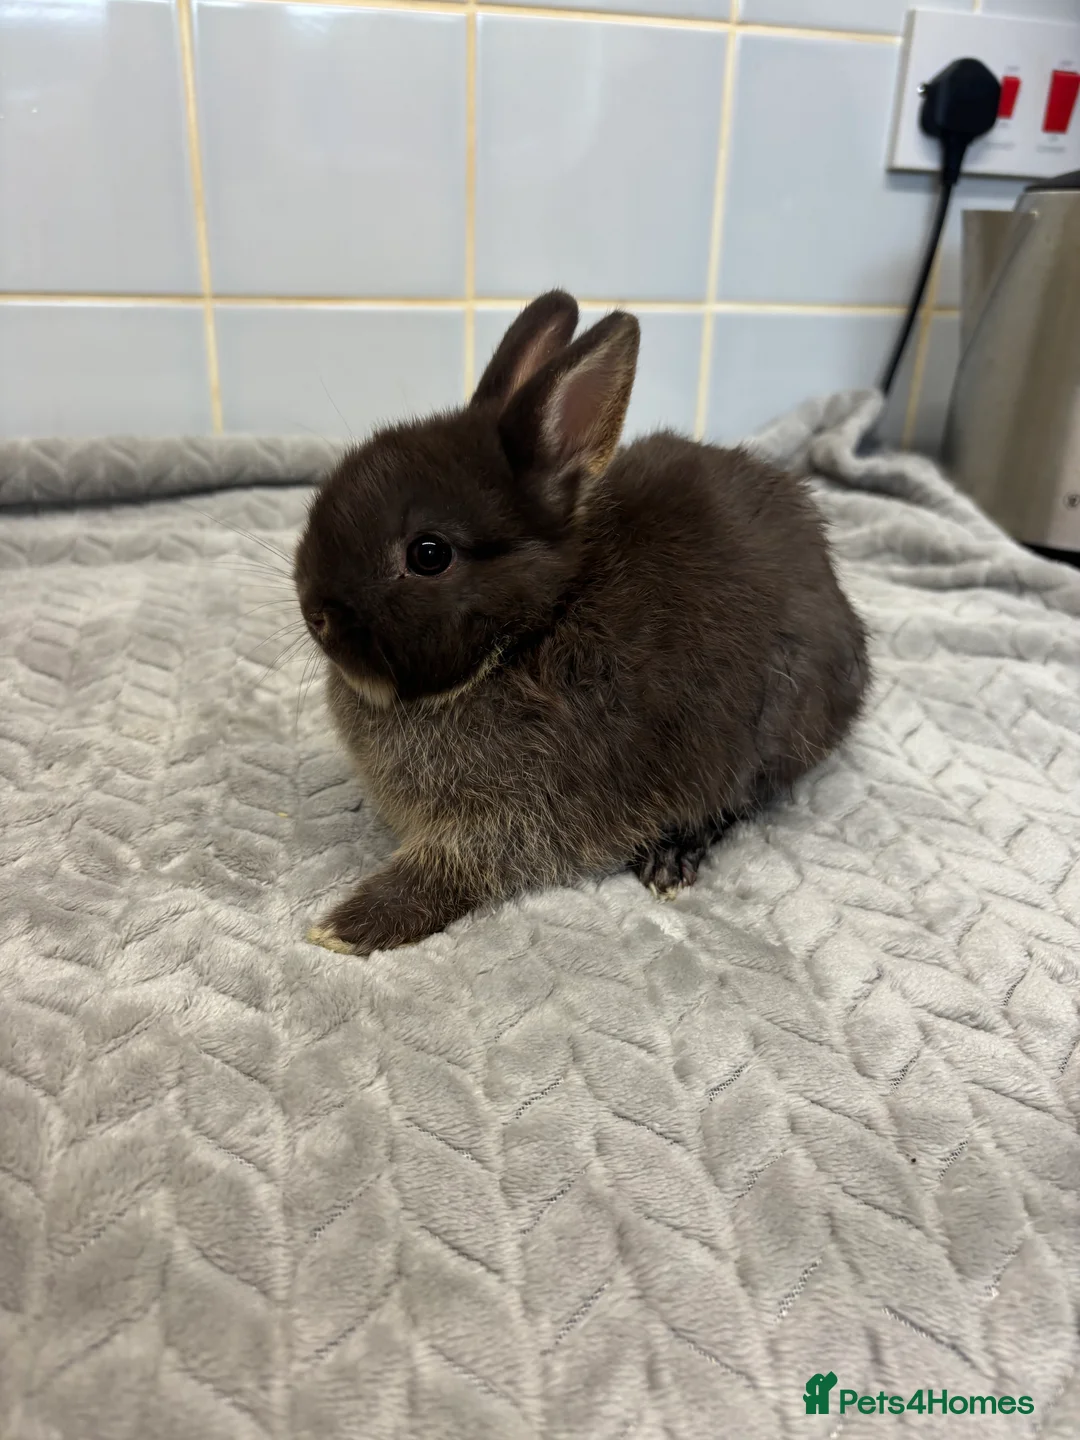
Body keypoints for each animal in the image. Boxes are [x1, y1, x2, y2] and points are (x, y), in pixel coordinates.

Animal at [293, 290, 870, 955]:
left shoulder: (519, 816)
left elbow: (456, 869)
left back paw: (669, 859)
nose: (314, 612)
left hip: (772, 729)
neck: (528, 632)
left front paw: (346, 926)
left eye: (429, 554)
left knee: (733, 800)